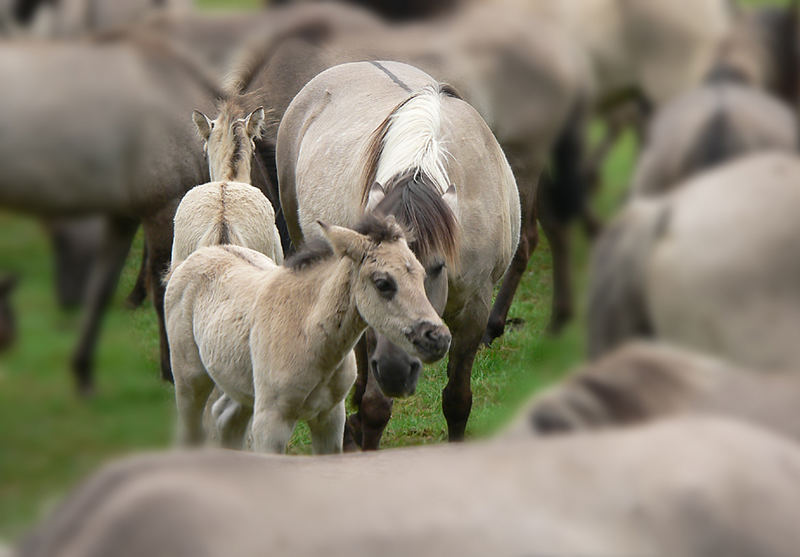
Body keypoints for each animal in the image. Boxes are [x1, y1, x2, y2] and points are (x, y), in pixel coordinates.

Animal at [166, 215, 454, 454]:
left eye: (422, 275)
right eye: (383, 283)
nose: (438, 338)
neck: (309, 333)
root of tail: (206, 251)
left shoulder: (330, 419)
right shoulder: (271, 423)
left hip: (242, 384)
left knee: (225, 418)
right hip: (190, 382)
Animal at [278, 59, 520, 444]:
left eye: (436, 268)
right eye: (376, 279)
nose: (396, 370)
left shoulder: (475, 310)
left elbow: (457, 401)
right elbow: (376, 406)